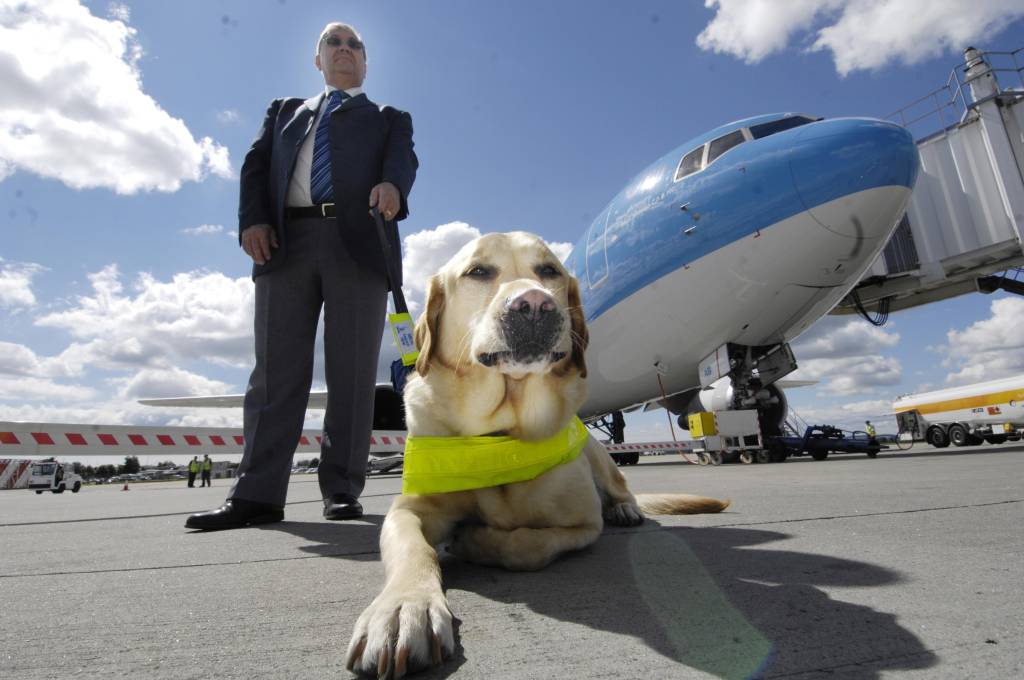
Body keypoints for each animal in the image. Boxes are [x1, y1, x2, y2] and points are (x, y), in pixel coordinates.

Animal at [346, 232, 729, 675]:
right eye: (478, 271)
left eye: (549, 271)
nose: (533, 304)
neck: (499, 434)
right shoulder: (410, 509)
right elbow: (414, 548)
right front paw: (403, 609)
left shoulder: (583, 523)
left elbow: (527, 546)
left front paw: (474, 540)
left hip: (597, 452)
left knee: (620, 487)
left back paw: (625, 509)